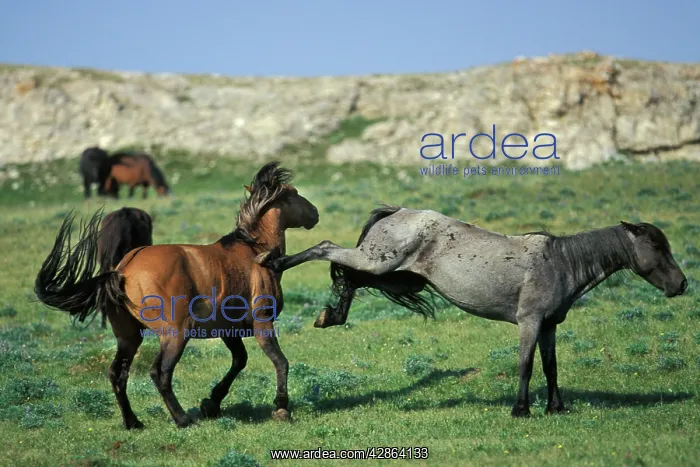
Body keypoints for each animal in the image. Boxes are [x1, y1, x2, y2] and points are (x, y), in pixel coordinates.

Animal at [34, 162, 319, 430]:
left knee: (118, 374)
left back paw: (133, 422)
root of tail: (121, 270)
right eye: (294, 193)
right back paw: (182, 419)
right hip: (175, 334)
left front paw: (211, 402)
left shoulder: (229, 330)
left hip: (129, 336)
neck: (254, 252)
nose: (315, 213)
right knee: (159, 373)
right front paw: (281, 408)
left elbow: (239, 361)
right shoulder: (262, 324)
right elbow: (280, 361)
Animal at [256, 204, 688, 418]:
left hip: (385, 270)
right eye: (657, 245)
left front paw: (556, 407)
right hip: (377, 260)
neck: (561, 261)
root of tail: (395, 213)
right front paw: (520, 410)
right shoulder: (529, 322)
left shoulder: (549, 325)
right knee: (327, 248)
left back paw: (330, 314)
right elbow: (526, 365)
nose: (682, 285)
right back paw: (274, 262)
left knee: (348, 275)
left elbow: (551, 367)